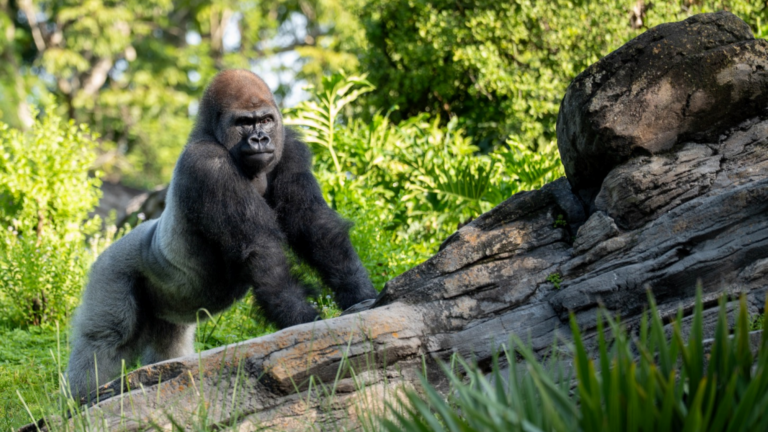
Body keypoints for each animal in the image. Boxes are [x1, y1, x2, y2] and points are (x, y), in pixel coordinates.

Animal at [65, 69, 377, 400]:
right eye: (243, 123)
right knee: (106, 338)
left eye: (266, 119)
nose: (260, 138)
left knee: (168, 349)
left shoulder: (290, 148)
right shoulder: (207, 164)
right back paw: (81, 399)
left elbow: (314, 224)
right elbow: (261, 249)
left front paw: (360, 294)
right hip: (110, 269)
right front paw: (303, 320)